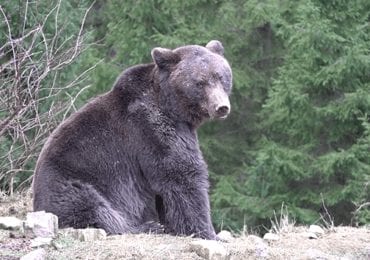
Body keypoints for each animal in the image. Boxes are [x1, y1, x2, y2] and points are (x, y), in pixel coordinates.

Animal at [33, 39, 233, 241]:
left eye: (221, 77)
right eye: (200, 82)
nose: (221, 107)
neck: (174, 108)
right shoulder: (151, 129)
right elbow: (182, 175)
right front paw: (208, 232)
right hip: (70, 184)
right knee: (95, 210)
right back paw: (147, 226)